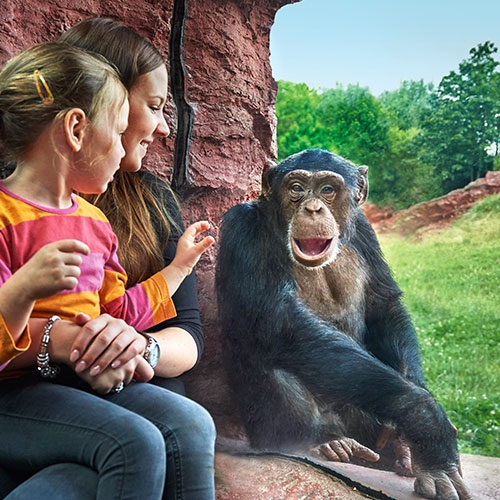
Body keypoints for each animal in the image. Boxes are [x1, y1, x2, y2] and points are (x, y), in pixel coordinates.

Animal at [216, 148, 472, 500]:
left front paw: (411, 432)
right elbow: (277, 317)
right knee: (274, 357)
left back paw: (396, 450)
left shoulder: (364, 228)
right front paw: (424, 419)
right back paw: (322, 441)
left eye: (327, 189)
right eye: (296, 188)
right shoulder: (243, 228)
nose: (312, 208)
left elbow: (382, 304)